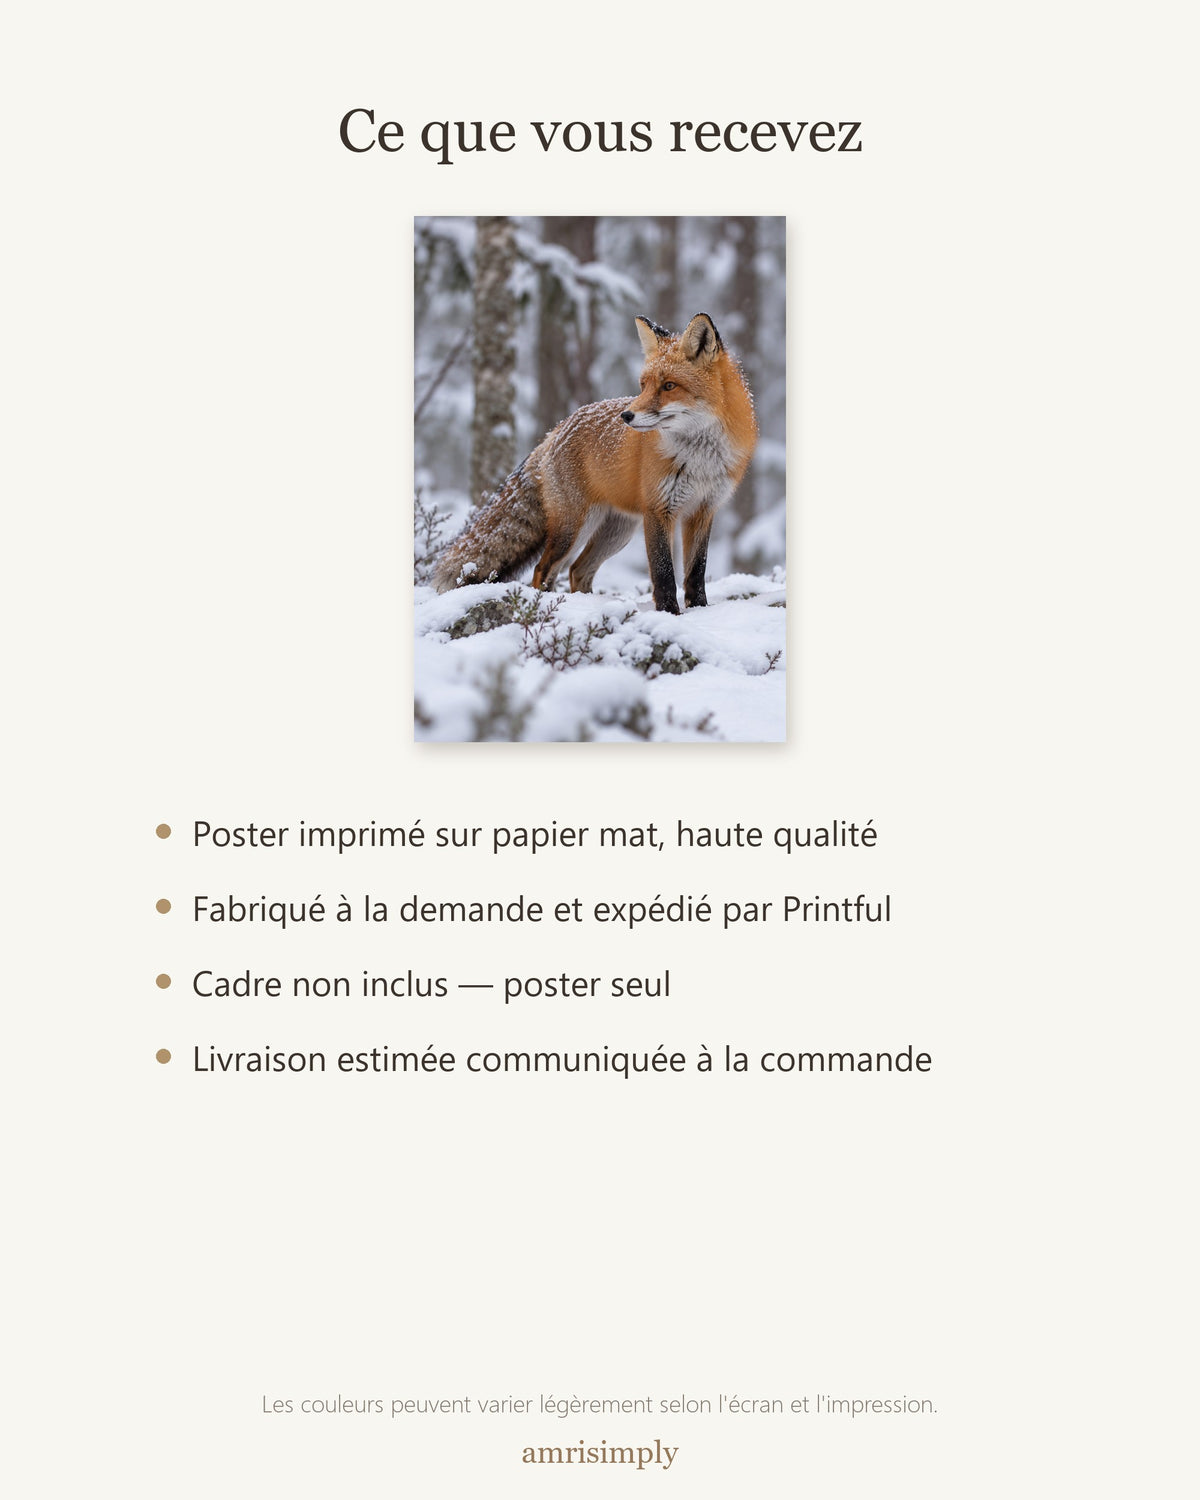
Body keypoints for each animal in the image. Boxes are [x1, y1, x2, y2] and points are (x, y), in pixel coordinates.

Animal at [432, 312, 757, 613]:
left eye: (668, 386)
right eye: (643, 385)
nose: (626, 416)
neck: (700, 458)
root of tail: (555, 431)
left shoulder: (703, 510)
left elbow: (696, 572)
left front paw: (699, 610)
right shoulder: (658, 510)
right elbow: (663, 573)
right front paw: (669, 614)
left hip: (616, 532)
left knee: (578, 571)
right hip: (573, 528)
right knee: (544, 569)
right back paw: (544, 605)